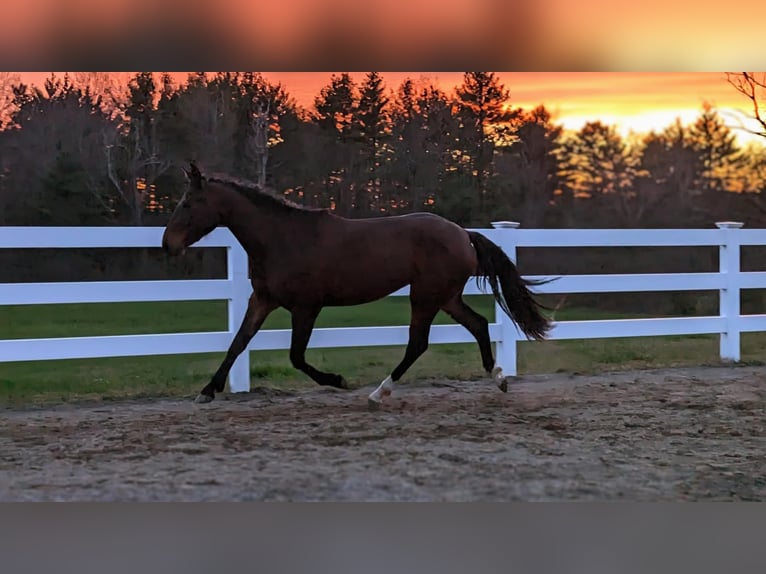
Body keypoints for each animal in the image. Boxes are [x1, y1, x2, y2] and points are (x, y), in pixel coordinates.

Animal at [164, 163, 552, 410]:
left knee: (418, 343)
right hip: (445, 297)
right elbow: (238, 343)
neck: (282, 239)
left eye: (188, 202)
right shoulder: (262, 300)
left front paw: (338, 380)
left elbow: (296, 356)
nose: (168, 244)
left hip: (425, 296)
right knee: (478, 324)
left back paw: (378, 394)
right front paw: (207, 391)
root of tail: (463, 233)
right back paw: (498, 378)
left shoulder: (306, 308)